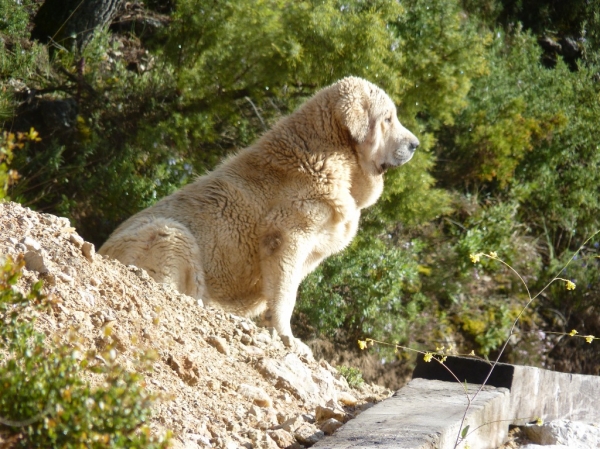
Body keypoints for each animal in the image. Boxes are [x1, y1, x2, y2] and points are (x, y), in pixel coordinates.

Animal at [99, 77, 418, 354]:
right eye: (388, 119)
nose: (415, 144)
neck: (335, 156)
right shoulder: (288, 237)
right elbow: (285, 292)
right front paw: (287, 336)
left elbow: (285, 288)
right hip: (170, 233)